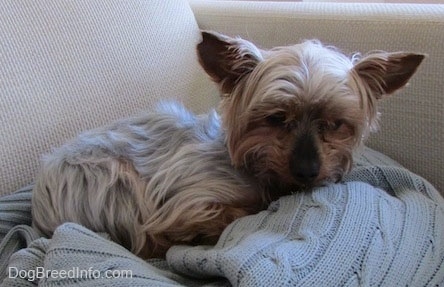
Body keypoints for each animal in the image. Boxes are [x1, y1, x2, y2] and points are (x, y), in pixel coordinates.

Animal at [31, 31, 424, 258]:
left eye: (335, 123)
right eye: (275, 118)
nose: (308, 171)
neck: (255, 170)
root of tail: (39, 211)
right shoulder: (184, 204)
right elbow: (224, 214)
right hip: (113, 178)